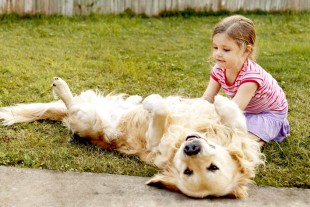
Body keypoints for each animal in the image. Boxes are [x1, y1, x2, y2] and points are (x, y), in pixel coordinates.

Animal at [0, 77, 264, 199]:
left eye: (210, 168)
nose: (191, 148)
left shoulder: (155, 143)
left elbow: (160, 110)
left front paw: (154, 102)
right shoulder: (236, 136)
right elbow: (236, 122)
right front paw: (222, 102)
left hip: (90, 120)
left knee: (73, 105)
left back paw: (61, 88)